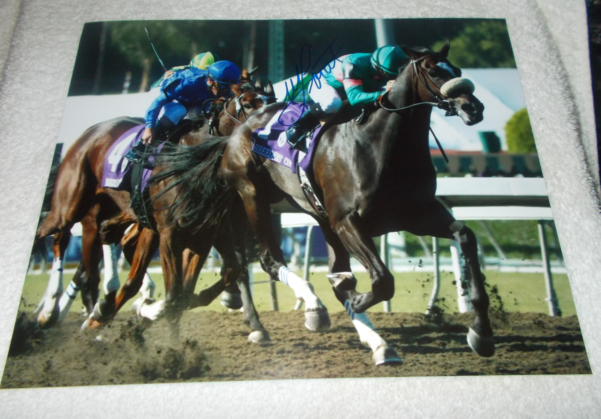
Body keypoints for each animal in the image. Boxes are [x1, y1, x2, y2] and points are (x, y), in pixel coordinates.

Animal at [154, 42, 492, 364]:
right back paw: (311, 310)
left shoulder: (417, 215)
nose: (473, 107)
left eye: (457, 69)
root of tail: (238, 128)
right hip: (251, 196)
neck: (380, 145)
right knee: (269, 260)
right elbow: (382, 281)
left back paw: (379, 344)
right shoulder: (347, 221)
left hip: (317, 215)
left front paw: (481, 332)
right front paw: (353, 300)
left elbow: (465, 236)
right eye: (434, 71)